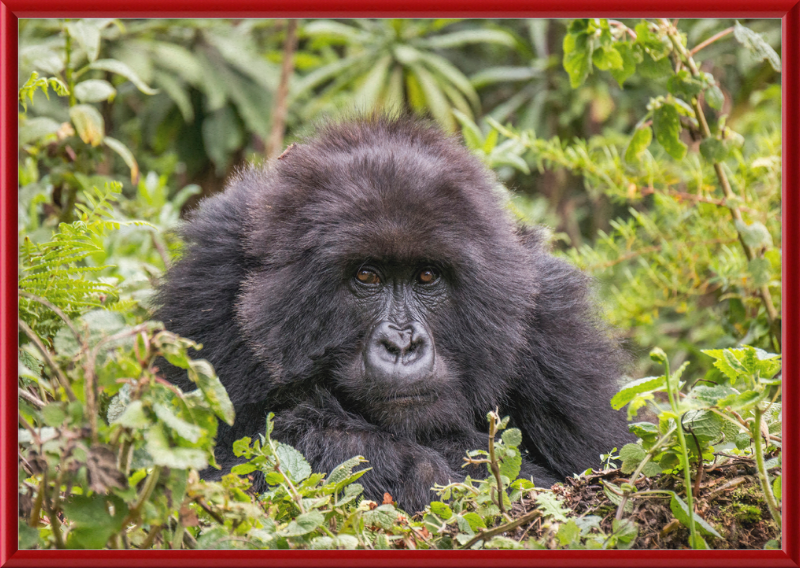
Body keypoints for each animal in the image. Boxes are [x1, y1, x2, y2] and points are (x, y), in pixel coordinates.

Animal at [155, 113, 632, 512]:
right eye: (367, 276)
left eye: (426, 276)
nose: (402, 343)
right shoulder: (207, 289)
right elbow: (208, 475)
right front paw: (377, 456)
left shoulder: (554, 324)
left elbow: (601, 473)